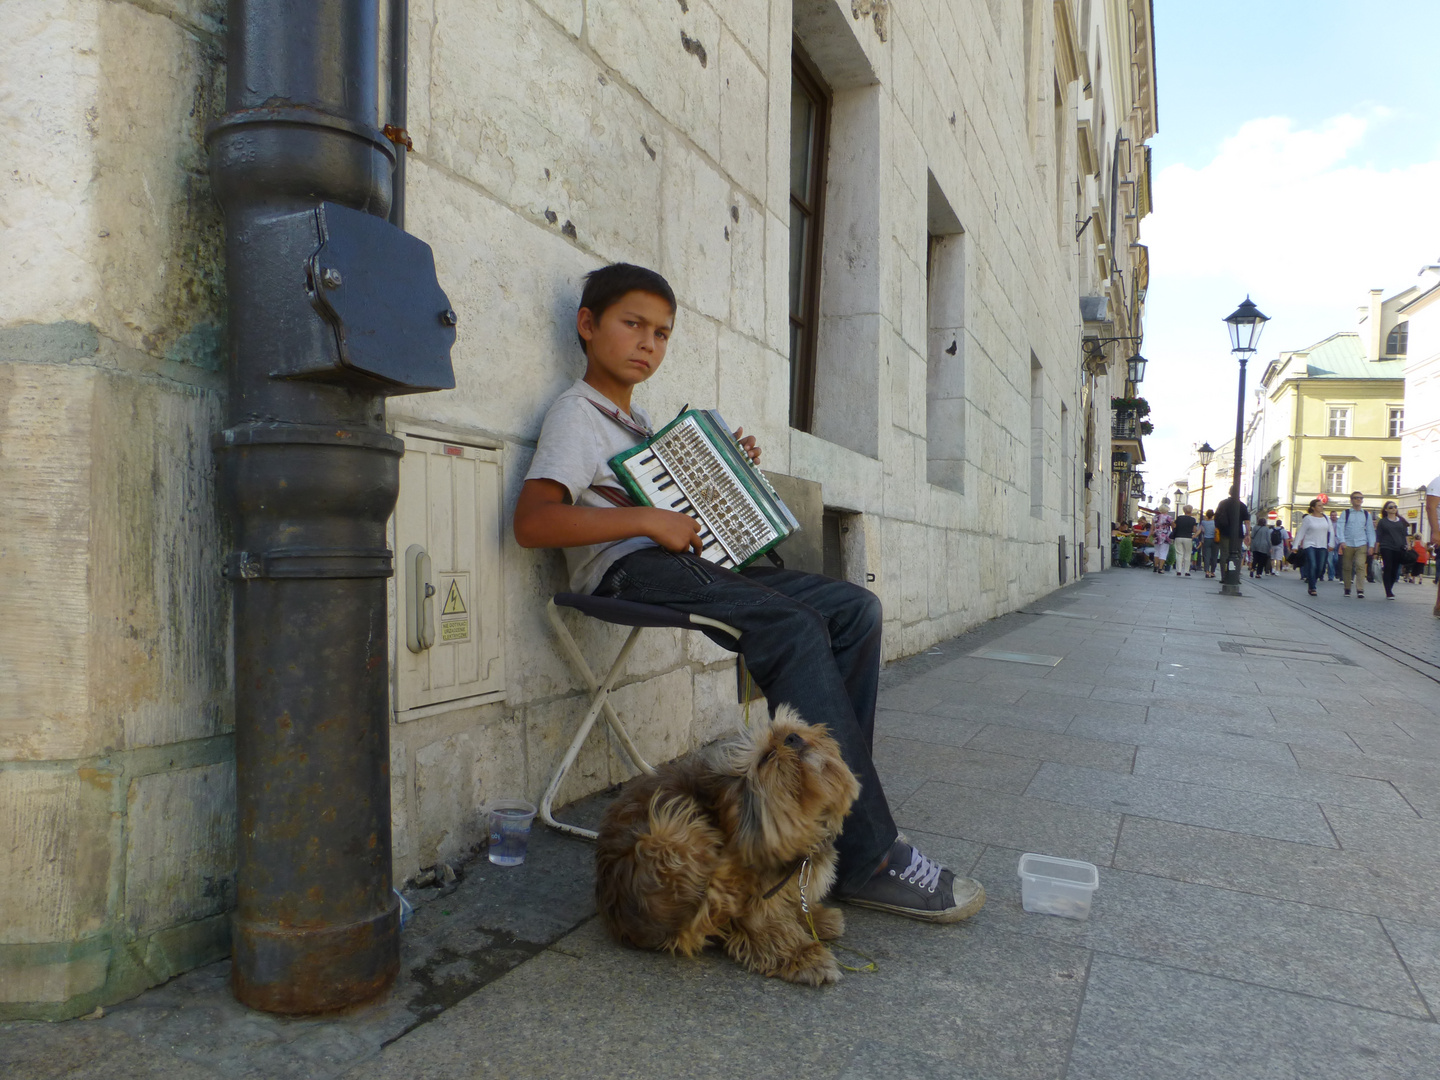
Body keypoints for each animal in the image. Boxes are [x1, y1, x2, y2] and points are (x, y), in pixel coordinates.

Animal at [593, 705, 858, 996]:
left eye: (789, 731)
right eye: (766, 757)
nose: (792, 739)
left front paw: (816, 918)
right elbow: (767, 925)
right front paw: (803, 956)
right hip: (671, 829)